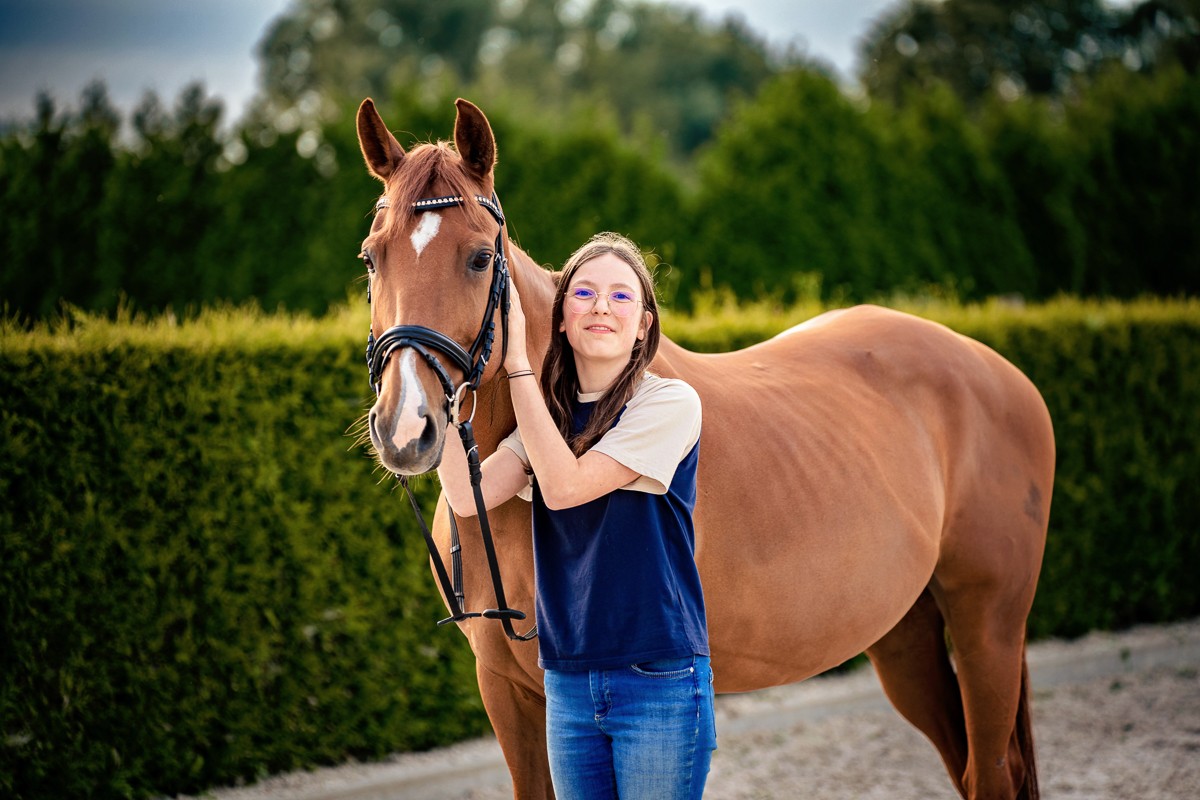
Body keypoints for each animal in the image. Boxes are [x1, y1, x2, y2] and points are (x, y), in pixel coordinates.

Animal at [352, 95, 1051, 800]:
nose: (406, 427)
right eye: (371, 258)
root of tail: (1001, 370)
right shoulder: (510, 693)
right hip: (906, 635)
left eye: (477, 258)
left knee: (991, 770)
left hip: (987, 627)